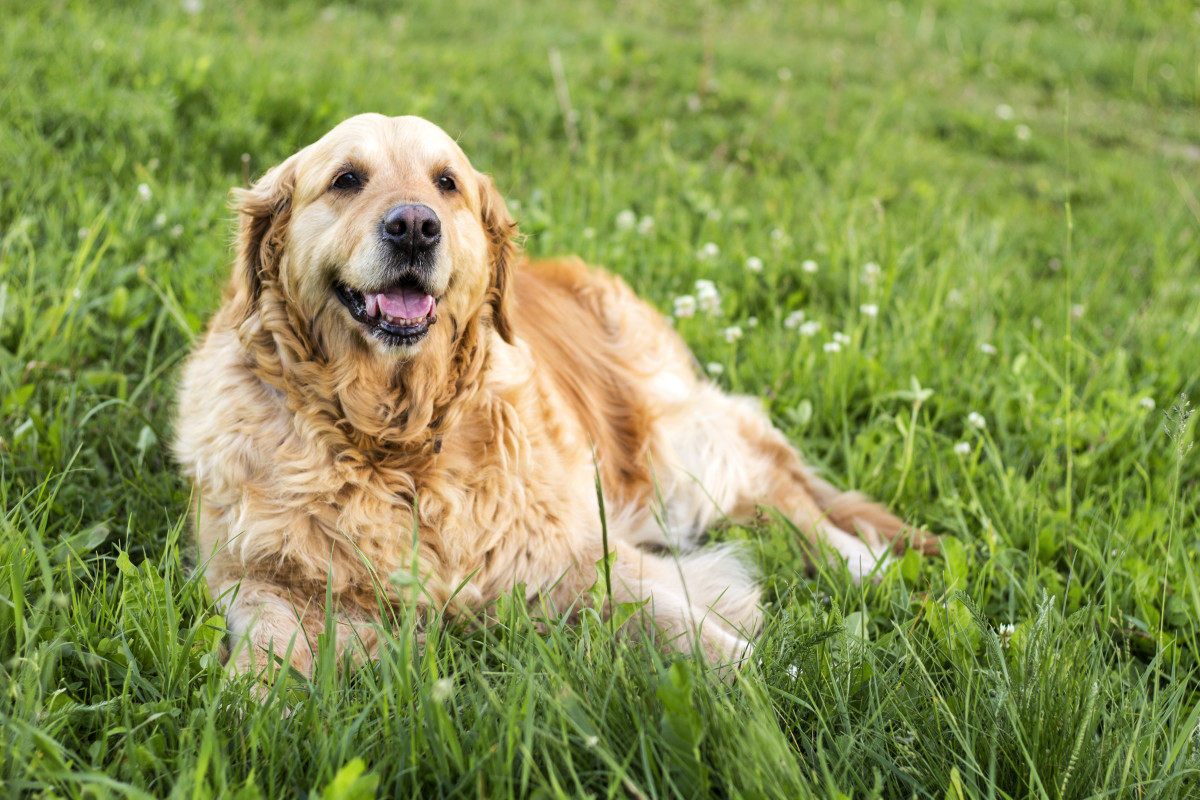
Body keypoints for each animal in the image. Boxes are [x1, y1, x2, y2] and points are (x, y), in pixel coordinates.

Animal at [174, 110, 936, 676]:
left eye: (446, 182)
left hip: (672, 451)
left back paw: (861, 563)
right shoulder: (259, 576)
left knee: (782, 489)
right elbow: (267, 656)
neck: (397, 441)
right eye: (346, 179)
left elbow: (675, 618)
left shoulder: (572, 554)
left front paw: (763, 679)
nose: (415, 226)